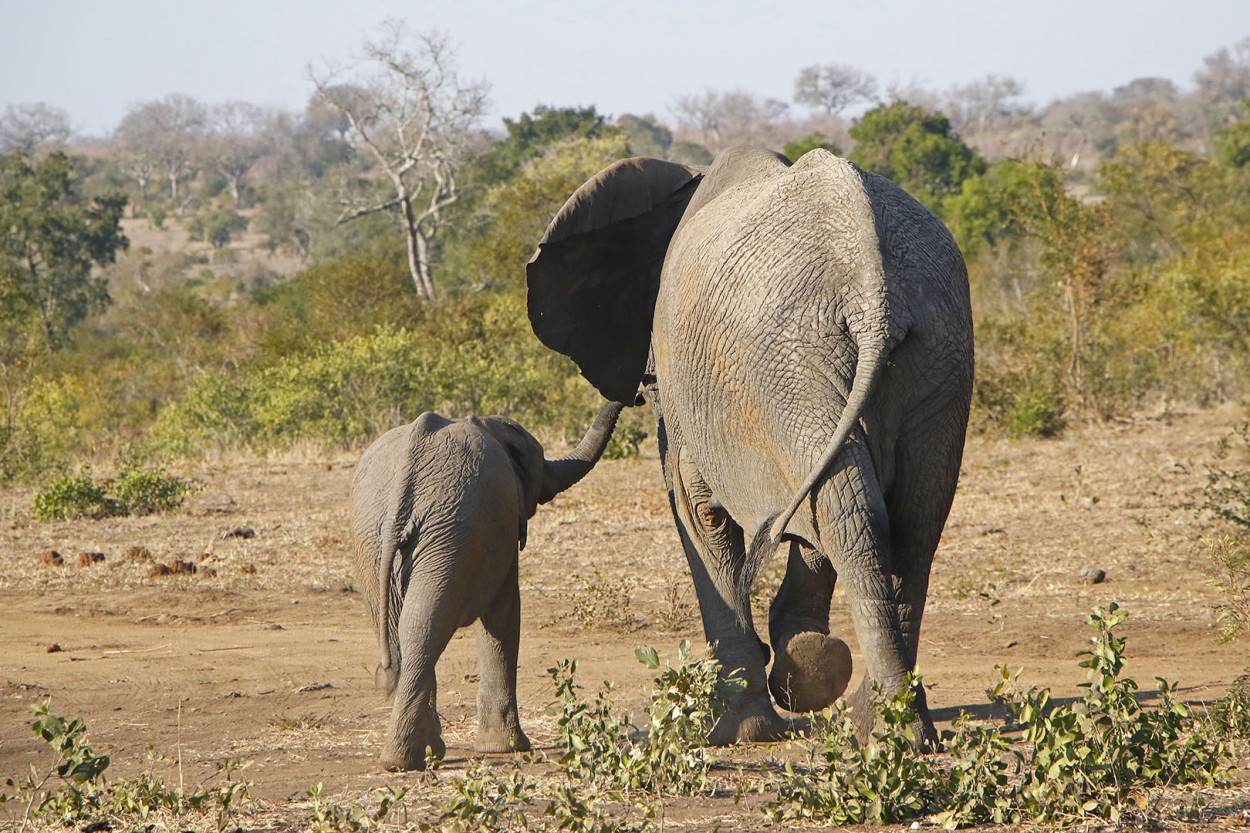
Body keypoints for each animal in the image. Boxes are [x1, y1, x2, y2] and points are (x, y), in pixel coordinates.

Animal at [350, 400, 625, 770]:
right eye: (536, 461)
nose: (641, 393)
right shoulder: (500, 531)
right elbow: (504, 613)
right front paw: (507, 748)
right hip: (449, 530)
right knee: (425, 626)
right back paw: (410, 758)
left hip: (377, 537)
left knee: (405, 630)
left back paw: (414, 756)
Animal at [527, 145, 975, 740]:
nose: (637, 388)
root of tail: (872, 293)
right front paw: (802, 667)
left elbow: (699, 512)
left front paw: (742, 728)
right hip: (931, 351)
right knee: (903, 519)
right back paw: (888, 719)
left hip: (790, 364)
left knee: (857, 517)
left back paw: (885, 728)